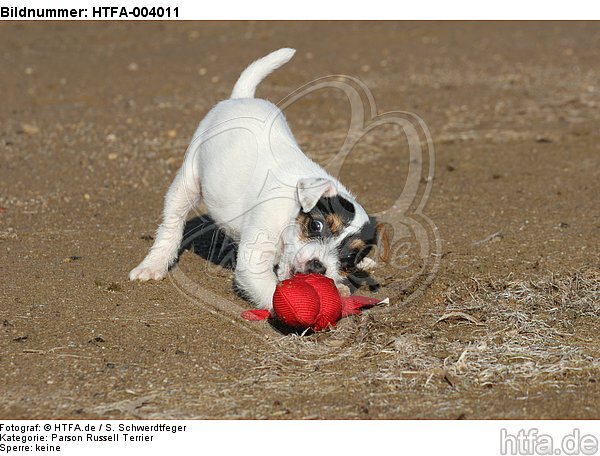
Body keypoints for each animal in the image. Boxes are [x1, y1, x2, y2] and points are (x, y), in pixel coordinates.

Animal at [129, 48, 386, 312]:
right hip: (187, 181)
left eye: (349, 256)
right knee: (171, 225)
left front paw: (343, 284)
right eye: (316, 225)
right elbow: (274, 292)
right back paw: (153, 264)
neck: (290, 211)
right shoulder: (252, 260)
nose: (318, 266)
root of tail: (242, 97)